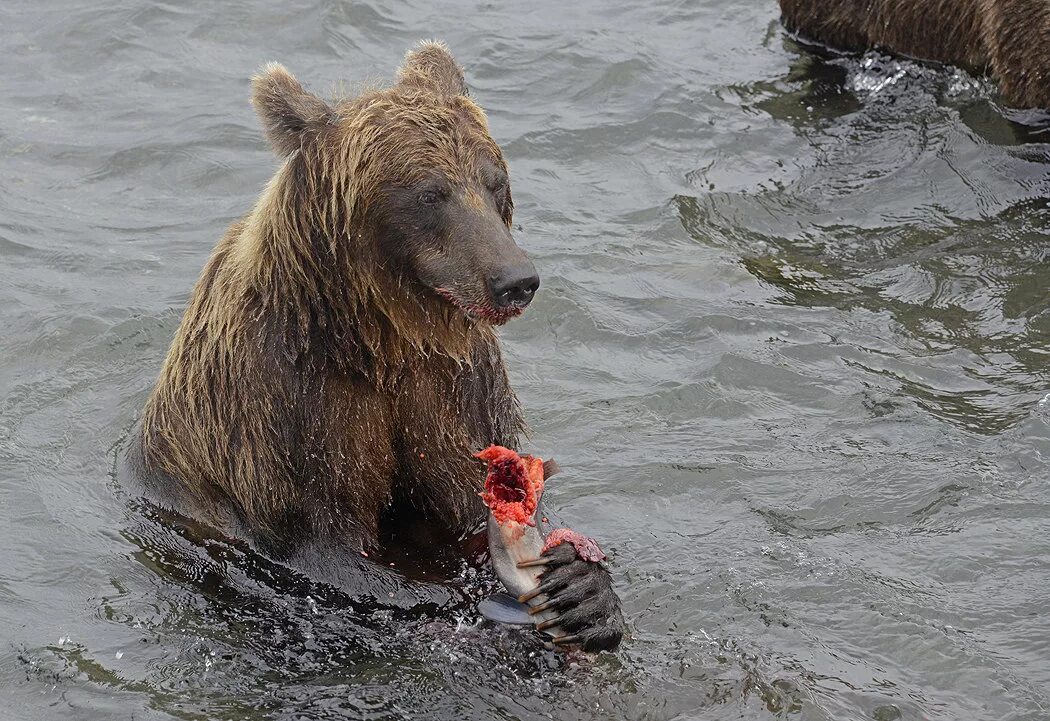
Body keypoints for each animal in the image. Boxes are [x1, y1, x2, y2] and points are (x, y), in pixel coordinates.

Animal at [131, 42, 621, 650]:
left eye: (493, 182)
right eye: (431, 193)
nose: (514, 279)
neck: (378, 336)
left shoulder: (454, 384)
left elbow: (468, 502)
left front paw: (584, 590)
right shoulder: (283, 401)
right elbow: (325, 542)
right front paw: (450, 599)